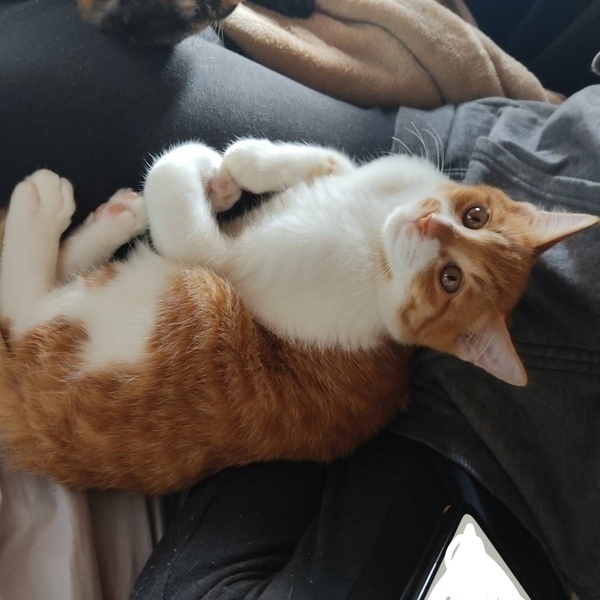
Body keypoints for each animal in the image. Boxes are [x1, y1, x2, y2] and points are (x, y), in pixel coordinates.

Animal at [0, 139, 596, 494]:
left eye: (450, 280)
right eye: (475, 215)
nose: (428, 224)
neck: (373, 228)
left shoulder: (226, 262)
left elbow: (178, 201)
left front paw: (193, 164)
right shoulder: (360, 173)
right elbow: (322, 159)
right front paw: (236, 168)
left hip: (164, 305)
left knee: (21, 307)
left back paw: (44, 208)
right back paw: (114, 217)